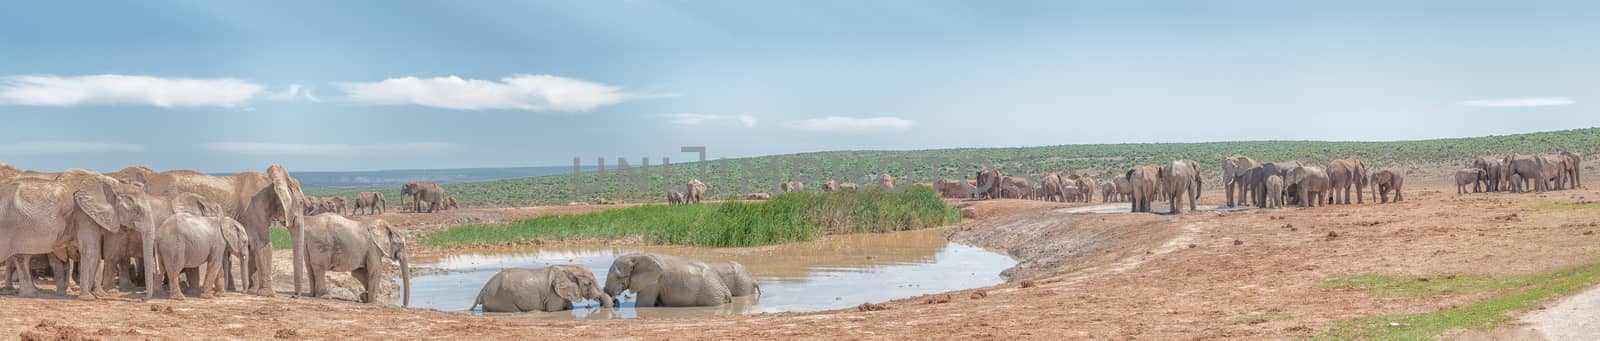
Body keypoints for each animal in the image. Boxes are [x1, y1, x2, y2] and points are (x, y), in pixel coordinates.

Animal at [0, 170, 157, 297]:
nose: (143, 298)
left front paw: (93, 295)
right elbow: (92, 251)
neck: (113, 185)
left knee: (22, 257)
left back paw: (32, 294)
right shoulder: (83, 215)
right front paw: (87, 297)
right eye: (137, 210)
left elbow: (95, 253)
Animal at [467, 265, 611, 313]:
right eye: (589, 283)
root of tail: (481, 293)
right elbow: (555, 310)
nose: (600, 304)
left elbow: (568, 306)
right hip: (501, 298)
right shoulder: (553, 293)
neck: (568, 268)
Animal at [601, 252, 732, 305]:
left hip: (711, 294)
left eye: (618, 277)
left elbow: (643, 304)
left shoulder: (653, 282)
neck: (636, 255)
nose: (616, 300)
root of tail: (727, 292)